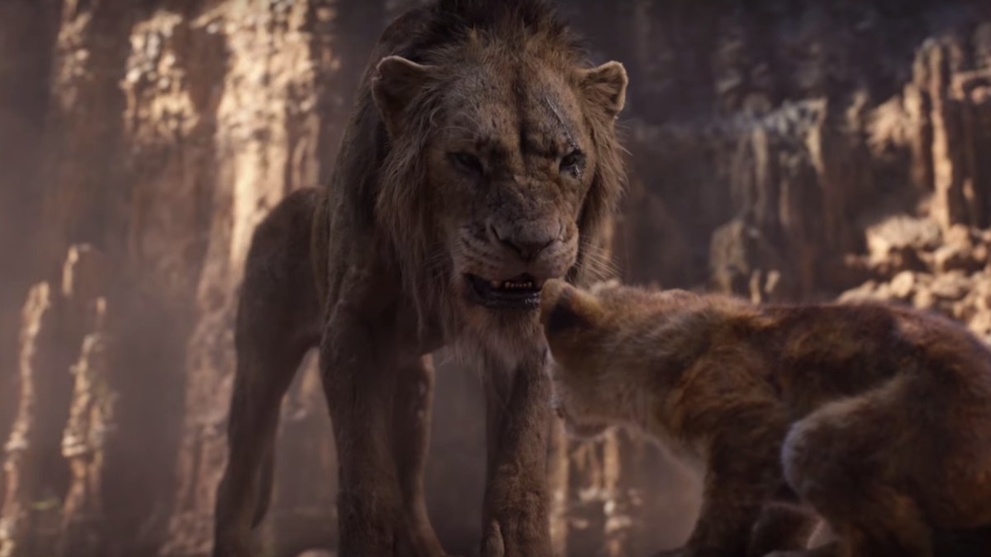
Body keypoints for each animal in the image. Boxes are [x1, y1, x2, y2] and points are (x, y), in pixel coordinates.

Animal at [211, 1, 629, 556]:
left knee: (410, 487)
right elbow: (365, 470)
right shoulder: (351, 327)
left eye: (571, 160)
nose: (531, 245)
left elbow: (519, 463)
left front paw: (518, 538)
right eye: (467, 160)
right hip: (261, 362)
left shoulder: (528, 341)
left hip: (414, 385)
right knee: (236, 478)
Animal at [538, 279, 991, 557]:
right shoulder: (777, 489)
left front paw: (692, 550)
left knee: (902, 540)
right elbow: (776, 519)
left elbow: (723, 511)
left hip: (816, 441)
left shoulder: (751, 425)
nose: (551, 411)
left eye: (547, 363)